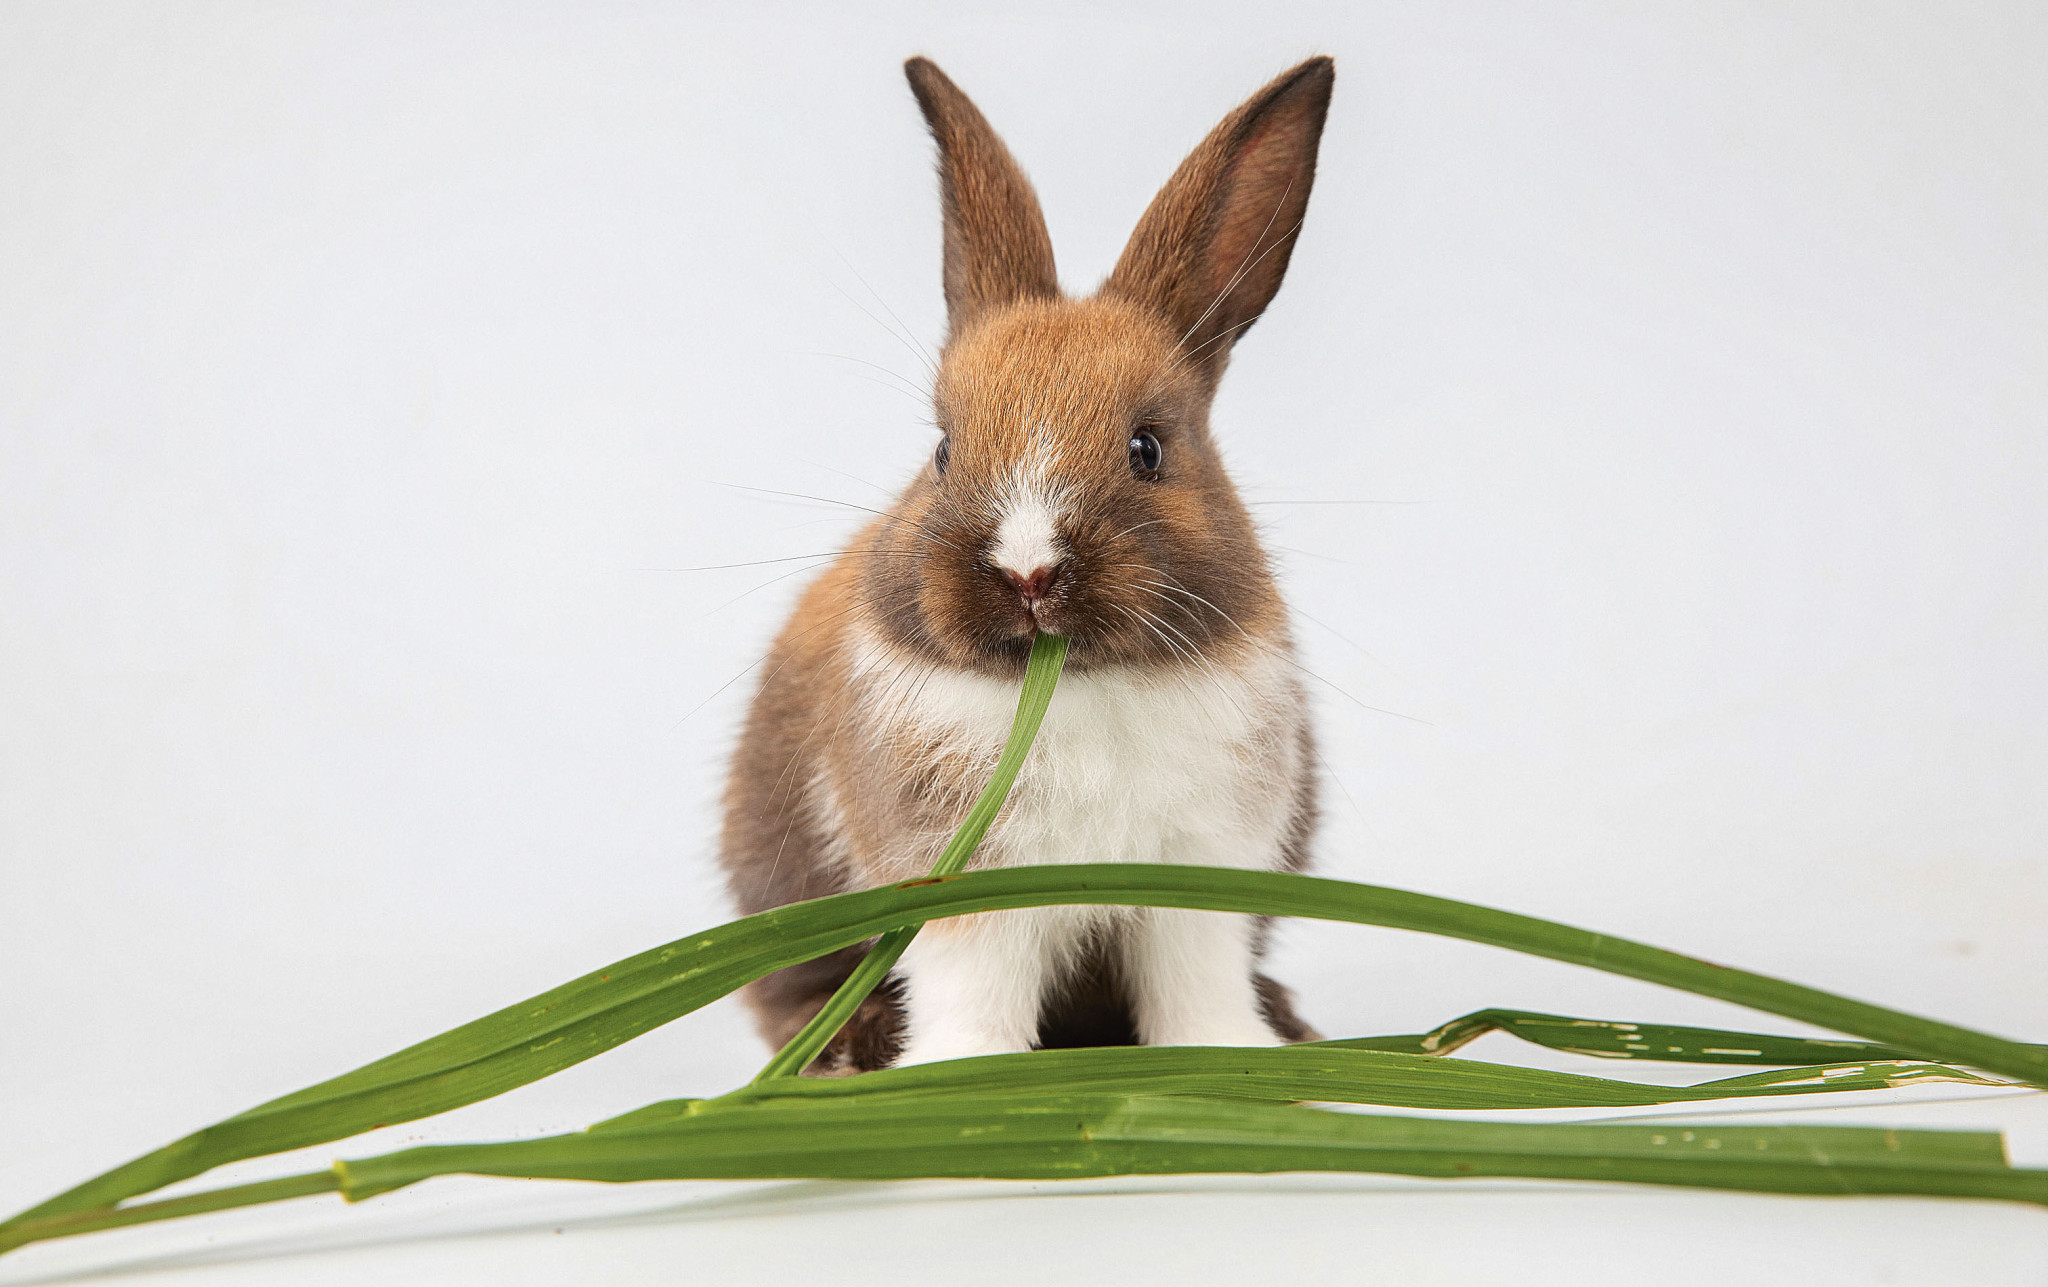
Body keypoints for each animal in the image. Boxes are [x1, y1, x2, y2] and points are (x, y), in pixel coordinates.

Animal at [720, 54, 1334, 1074]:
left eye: (1148, 448)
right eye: (942, 450)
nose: (1028, 570)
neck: (1078, 681)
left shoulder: (1206, 868)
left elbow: (1196, 979)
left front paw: (1227, 1054)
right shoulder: (962, 883)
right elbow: (974, 984)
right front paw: (963, 1071)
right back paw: (847, 1044)